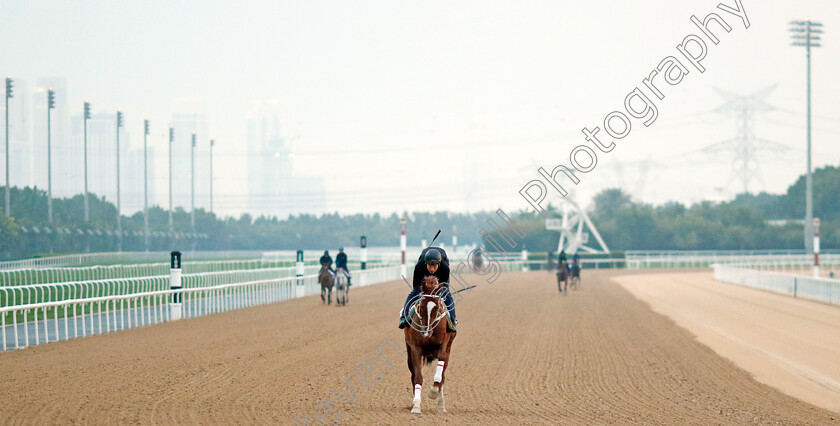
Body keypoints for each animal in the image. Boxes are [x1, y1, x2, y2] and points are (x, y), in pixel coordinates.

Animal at [404, 274, 456, 414]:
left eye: (436, 308)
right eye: (421, 306)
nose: (426, 332)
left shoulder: (443, 345)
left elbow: (440, 371)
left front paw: (433, 391)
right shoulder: (415, 348)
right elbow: (417, 377)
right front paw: (416, 405)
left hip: (449, 349)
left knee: (443, 376)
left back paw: (441, 405)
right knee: (413, 374)